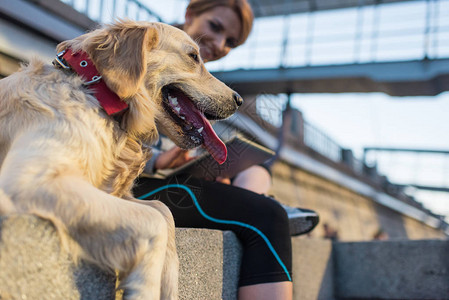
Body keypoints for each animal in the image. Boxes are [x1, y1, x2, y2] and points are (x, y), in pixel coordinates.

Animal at [0, 19, 242, 298]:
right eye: (193, 57)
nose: (239, 100)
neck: (96, 92)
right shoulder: (30, 179)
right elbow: (155, 222)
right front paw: (143, 289)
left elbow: (163, 211)